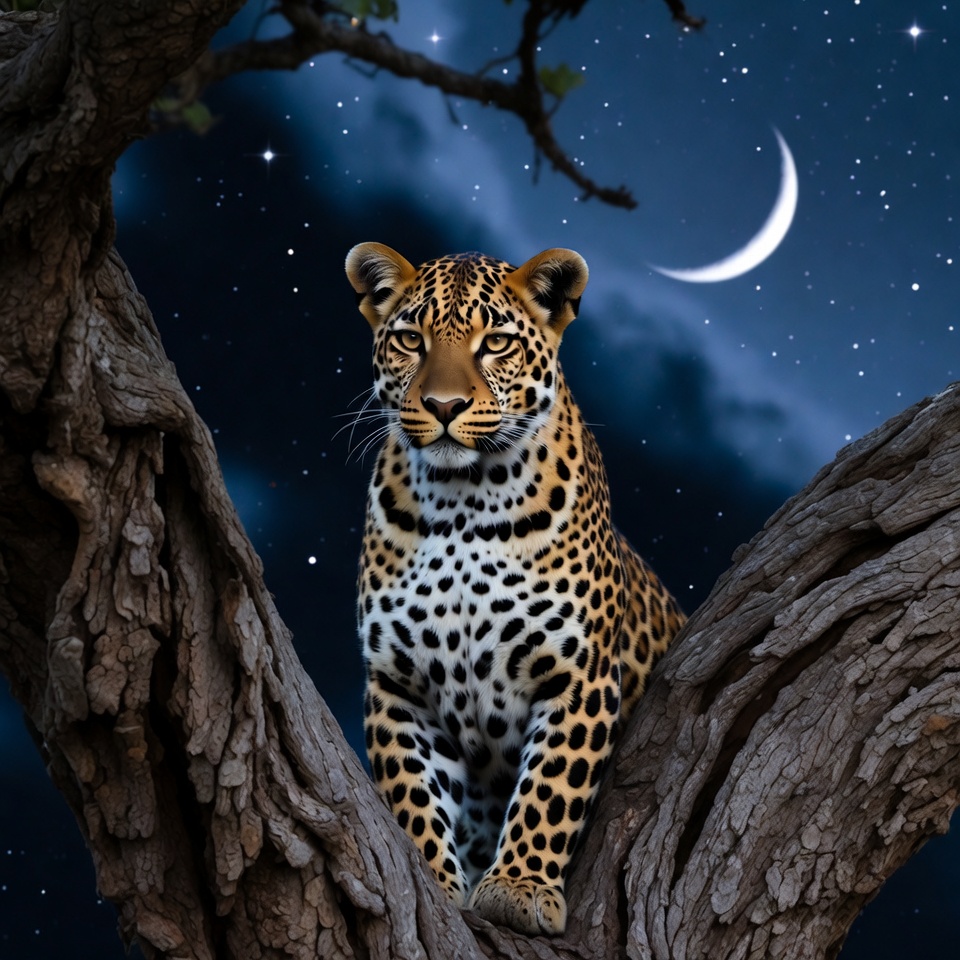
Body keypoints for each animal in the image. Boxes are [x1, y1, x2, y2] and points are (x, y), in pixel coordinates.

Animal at [345, 242, 686, 936]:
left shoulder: (578, 674)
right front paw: (433, 879)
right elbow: (411, 791)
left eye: (496, 342)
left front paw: (519, 887)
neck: (462, 505)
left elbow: (551, 786)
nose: (444, 406)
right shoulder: (397, 682)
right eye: (412, 339)